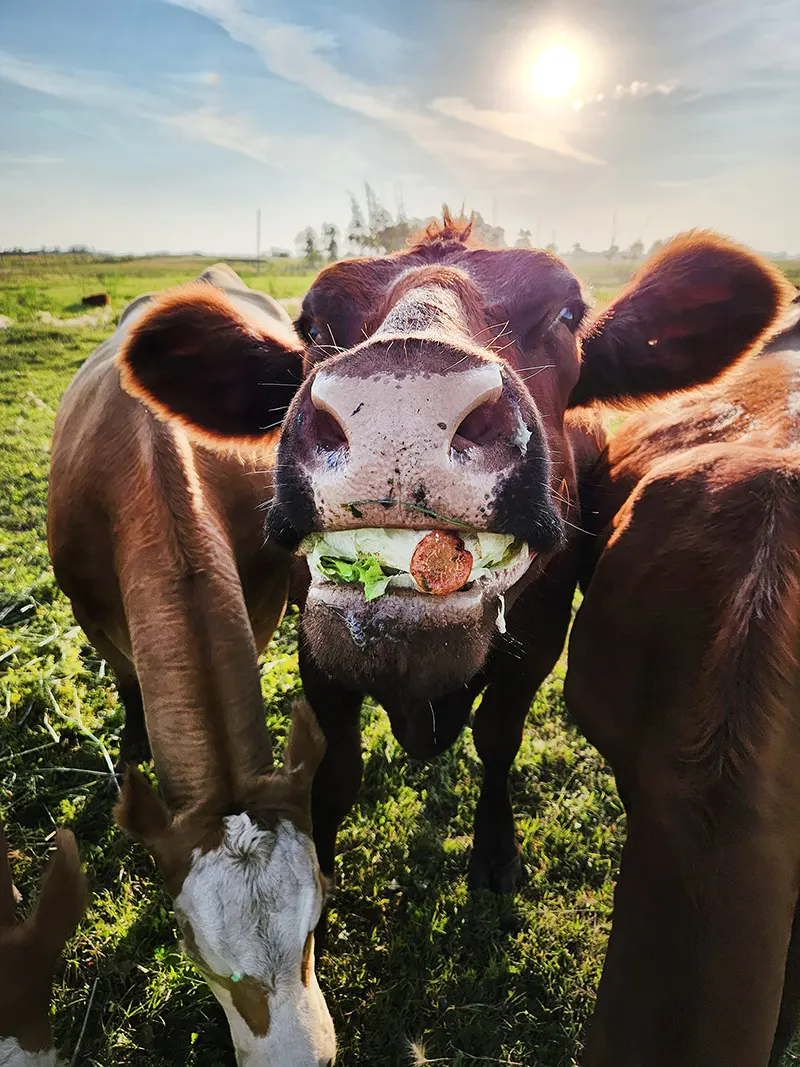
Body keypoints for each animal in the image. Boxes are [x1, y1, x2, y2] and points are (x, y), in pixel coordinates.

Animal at [47, 264, 334, 1067]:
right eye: (187, 944)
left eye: (319, 913)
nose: (309, 1059)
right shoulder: (93, 617)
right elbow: (127, 687)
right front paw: (133, 743)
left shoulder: (261, 595)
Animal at [114, 216, 797, 900]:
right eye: (312, 324)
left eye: (566, 312)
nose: (404, 405)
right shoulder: (317, 655)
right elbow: (335, 772)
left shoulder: (538, 645)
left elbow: (497, 739)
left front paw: (496, 850)